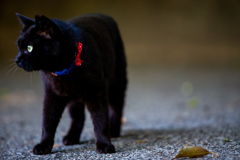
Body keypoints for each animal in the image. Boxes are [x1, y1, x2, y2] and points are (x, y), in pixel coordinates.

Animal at [15, 13, 127, 155]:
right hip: (74, 98)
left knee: (117, 108)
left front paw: (104, 144)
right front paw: (43, 145)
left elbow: (100, 119)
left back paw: (114, 131)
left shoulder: (97, 92)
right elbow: (48, 122)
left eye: (29, 48)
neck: (63, 71)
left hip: (116, 84)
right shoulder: (51, 95)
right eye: (18, 47)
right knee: (78, 117)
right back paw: (72, 137)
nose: (17, 59)